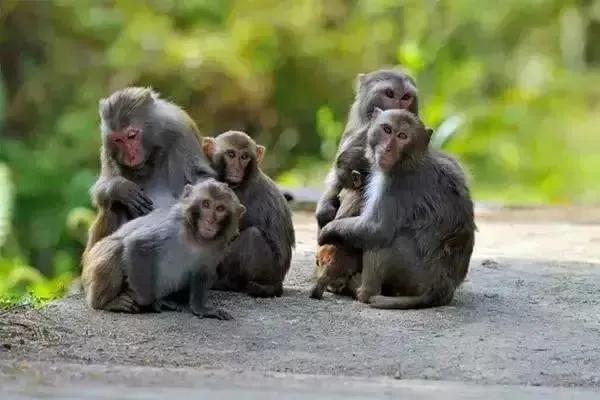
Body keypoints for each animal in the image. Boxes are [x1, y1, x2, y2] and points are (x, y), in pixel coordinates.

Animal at [81, 180, 245, 320]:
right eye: (206, 204)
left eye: (220, 209)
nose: (210, 220)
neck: (195, 236)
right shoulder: (171, 226)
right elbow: (138, 244)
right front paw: (145, 300)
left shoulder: (217, 246)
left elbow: (203, 270)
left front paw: (201, 309)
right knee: (117, 247)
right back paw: (106, 303)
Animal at [83, 86, 216, 260]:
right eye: (118, 140)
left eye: (131, 135)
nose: (130, 156)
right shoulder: (108, 147)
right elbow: (101, 188)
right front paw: (121, 188)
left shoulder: (180, 129)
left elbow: (201, 177)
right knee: (113, 206)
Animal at [202, 131, 296, 296]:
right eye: (231, 154)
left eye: (244, 156)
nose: (237, 169)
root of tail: (278, 283)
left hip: (269, 270)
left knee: (253, 236)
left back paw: (227, 283)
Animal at [316, 107, 476, 310]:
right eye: (387, 129)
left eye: (402, 136)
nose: (388, 148)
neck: (411, 159)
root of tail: (441, 289)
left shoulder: (394, 183)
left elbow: (376, 229)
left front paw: (326, 232)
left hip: (414, 273)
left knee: (381, 240)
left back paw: (364, 292)